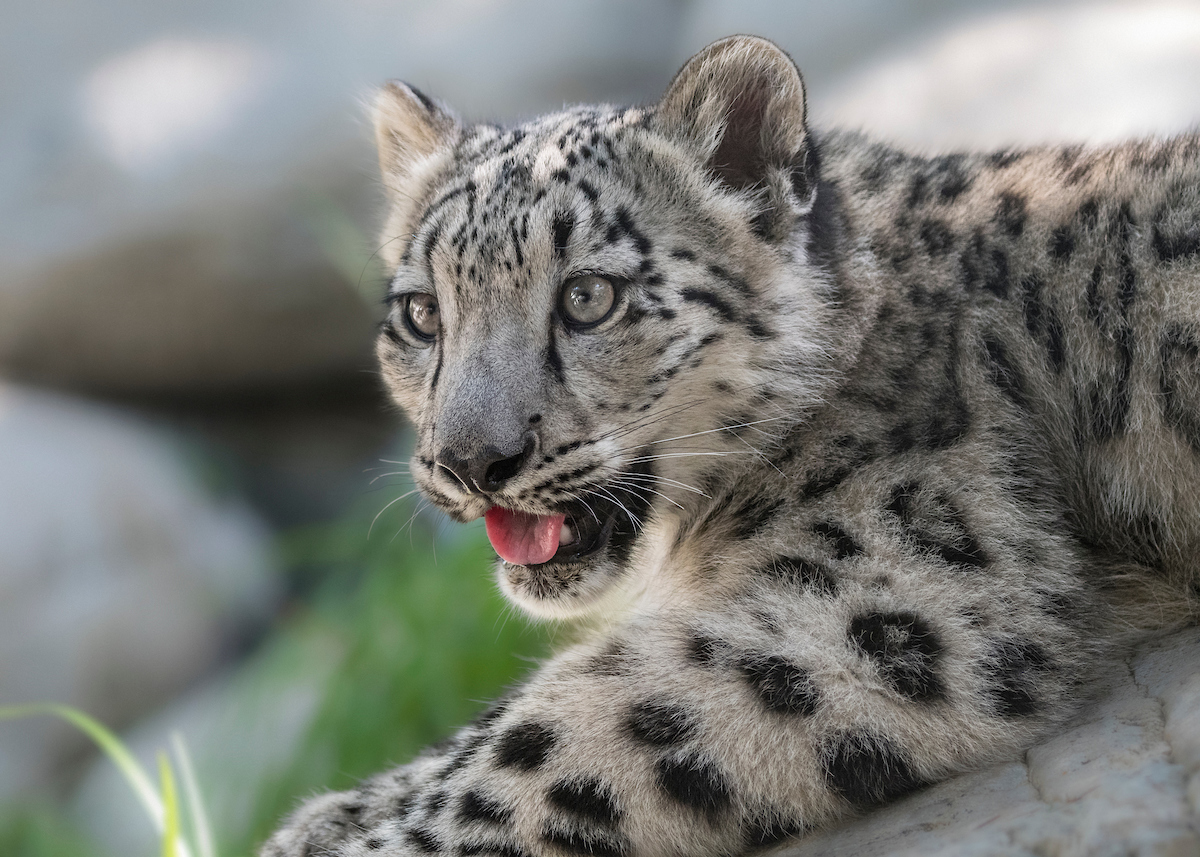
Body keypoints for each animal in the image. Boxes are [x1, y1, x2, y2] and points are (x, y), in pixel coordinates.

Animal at [263, 35, 1200, 856]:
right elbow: (486, 724)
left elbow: (550, 729)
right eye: (422, 313)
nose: (468, 462)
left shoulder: (896, 598)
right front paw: (319, 817)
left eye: (589, 296)